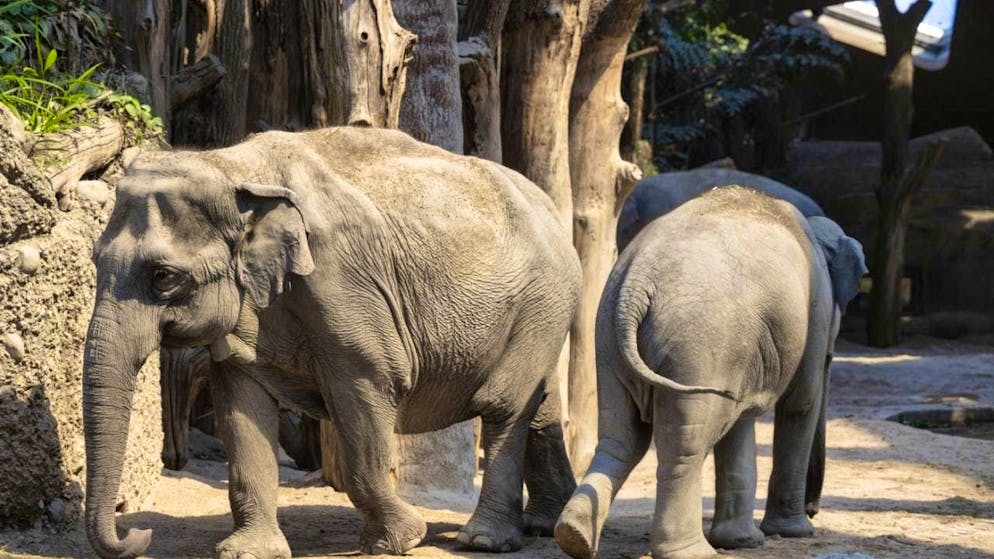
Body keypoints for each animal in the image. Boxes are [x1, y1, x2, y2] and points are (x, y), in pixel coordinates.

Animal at [82, 127, 581, 559]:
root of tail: (553, 211)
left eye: (163, 277)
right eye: (94, 260)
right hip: (543, 313)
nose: (137, 532)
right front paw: (247, 552)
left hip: (541, 301)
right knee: (541, 405)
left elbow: (366, 392)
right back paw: (547, 526)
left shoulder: (343, 284)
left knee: (504, 406)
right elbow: (240, 407)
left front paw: (399, 541)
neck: (232, 166)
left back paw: (484, 541)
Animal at [555, 187, 866, 559]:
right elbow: (800, 403)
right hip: (698, 348)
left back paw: (575, 535)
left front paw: (742, 541)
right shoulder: (814, 308)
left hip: (607, 340)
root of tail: (633, 289)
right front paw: (793, 533)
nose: (813, 509)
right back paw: (692, 552)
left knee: (622, 439)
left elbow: (741, 423)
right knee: (684, 446)